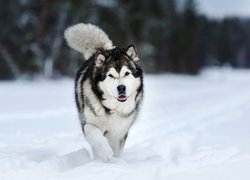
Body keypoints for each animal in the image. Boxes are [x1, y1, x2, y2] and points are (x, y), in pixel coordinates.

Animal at [63, 23, 144, 161]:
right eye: (111, 75)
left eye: (126, 73)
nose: (121, 88)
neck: (111, 109)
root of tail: (103, 50)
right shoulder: (88, 124)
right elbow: (96, 136)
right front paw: (105, 153)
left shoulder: (119, 132)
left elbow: (116, 148)